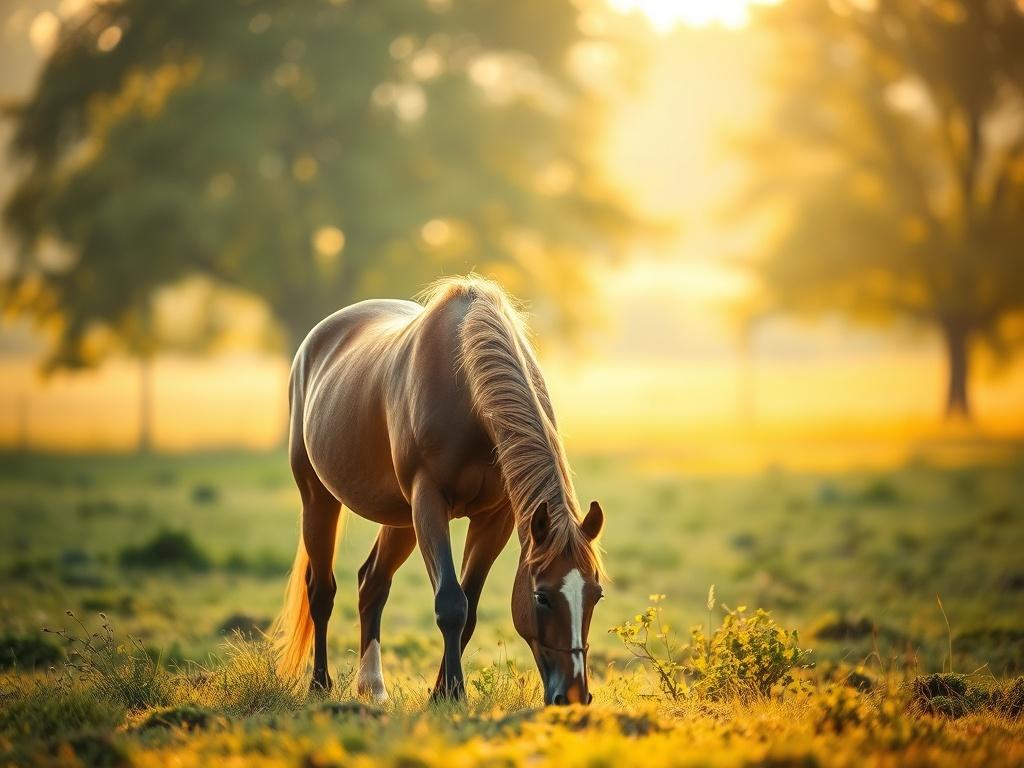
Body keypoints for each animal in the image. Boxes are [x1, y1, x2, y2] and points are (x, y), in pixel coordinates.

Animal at [270, 275, 606, 706]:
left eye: (596, 595)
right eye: (542, 596)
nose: (575, 695)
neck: (468, 397)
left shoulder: (495, 518)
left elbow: (470, 608)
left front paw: (441, 692)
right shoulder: (429, 502)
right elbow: (451, 603)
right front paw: (454, 693)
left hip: (401, 520)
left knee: (372, 583)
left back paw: (372, 687)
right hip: (319, 498)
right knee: (321, 591)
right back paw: (319, 684)